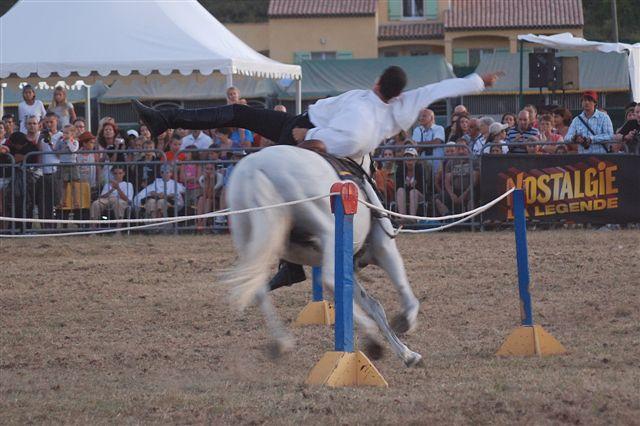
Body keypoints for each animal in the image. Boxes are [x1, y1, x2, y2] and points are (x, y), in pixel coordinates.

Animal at [225, 146, 424, 366]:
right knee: (328, 279)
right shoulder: (384, 248)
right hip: (327, 232)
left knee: (259, 288)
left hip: (249, 241)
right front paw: (406, 323)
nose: (376, 171)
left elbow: (373, 306)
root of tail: (256, 170)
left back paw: (282, 342)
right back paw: (371, 336)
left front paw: (407, 354)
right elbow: (403, 291)